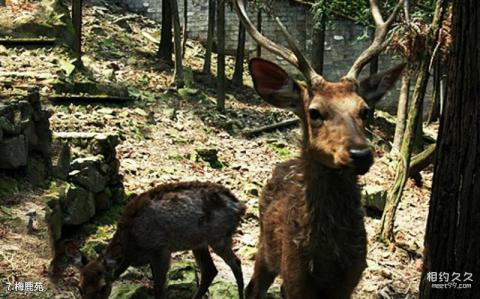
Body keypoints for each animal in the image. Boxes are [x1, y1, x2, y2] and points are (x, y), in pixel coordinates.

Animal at [234, 1, 406, 298]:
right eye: (314, 112)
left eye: (364, 110)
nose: (361, 154)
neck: (328, 259)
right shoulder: (294, 277)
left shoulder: (351, 278)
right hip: (266, 246)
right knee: (252, 286)